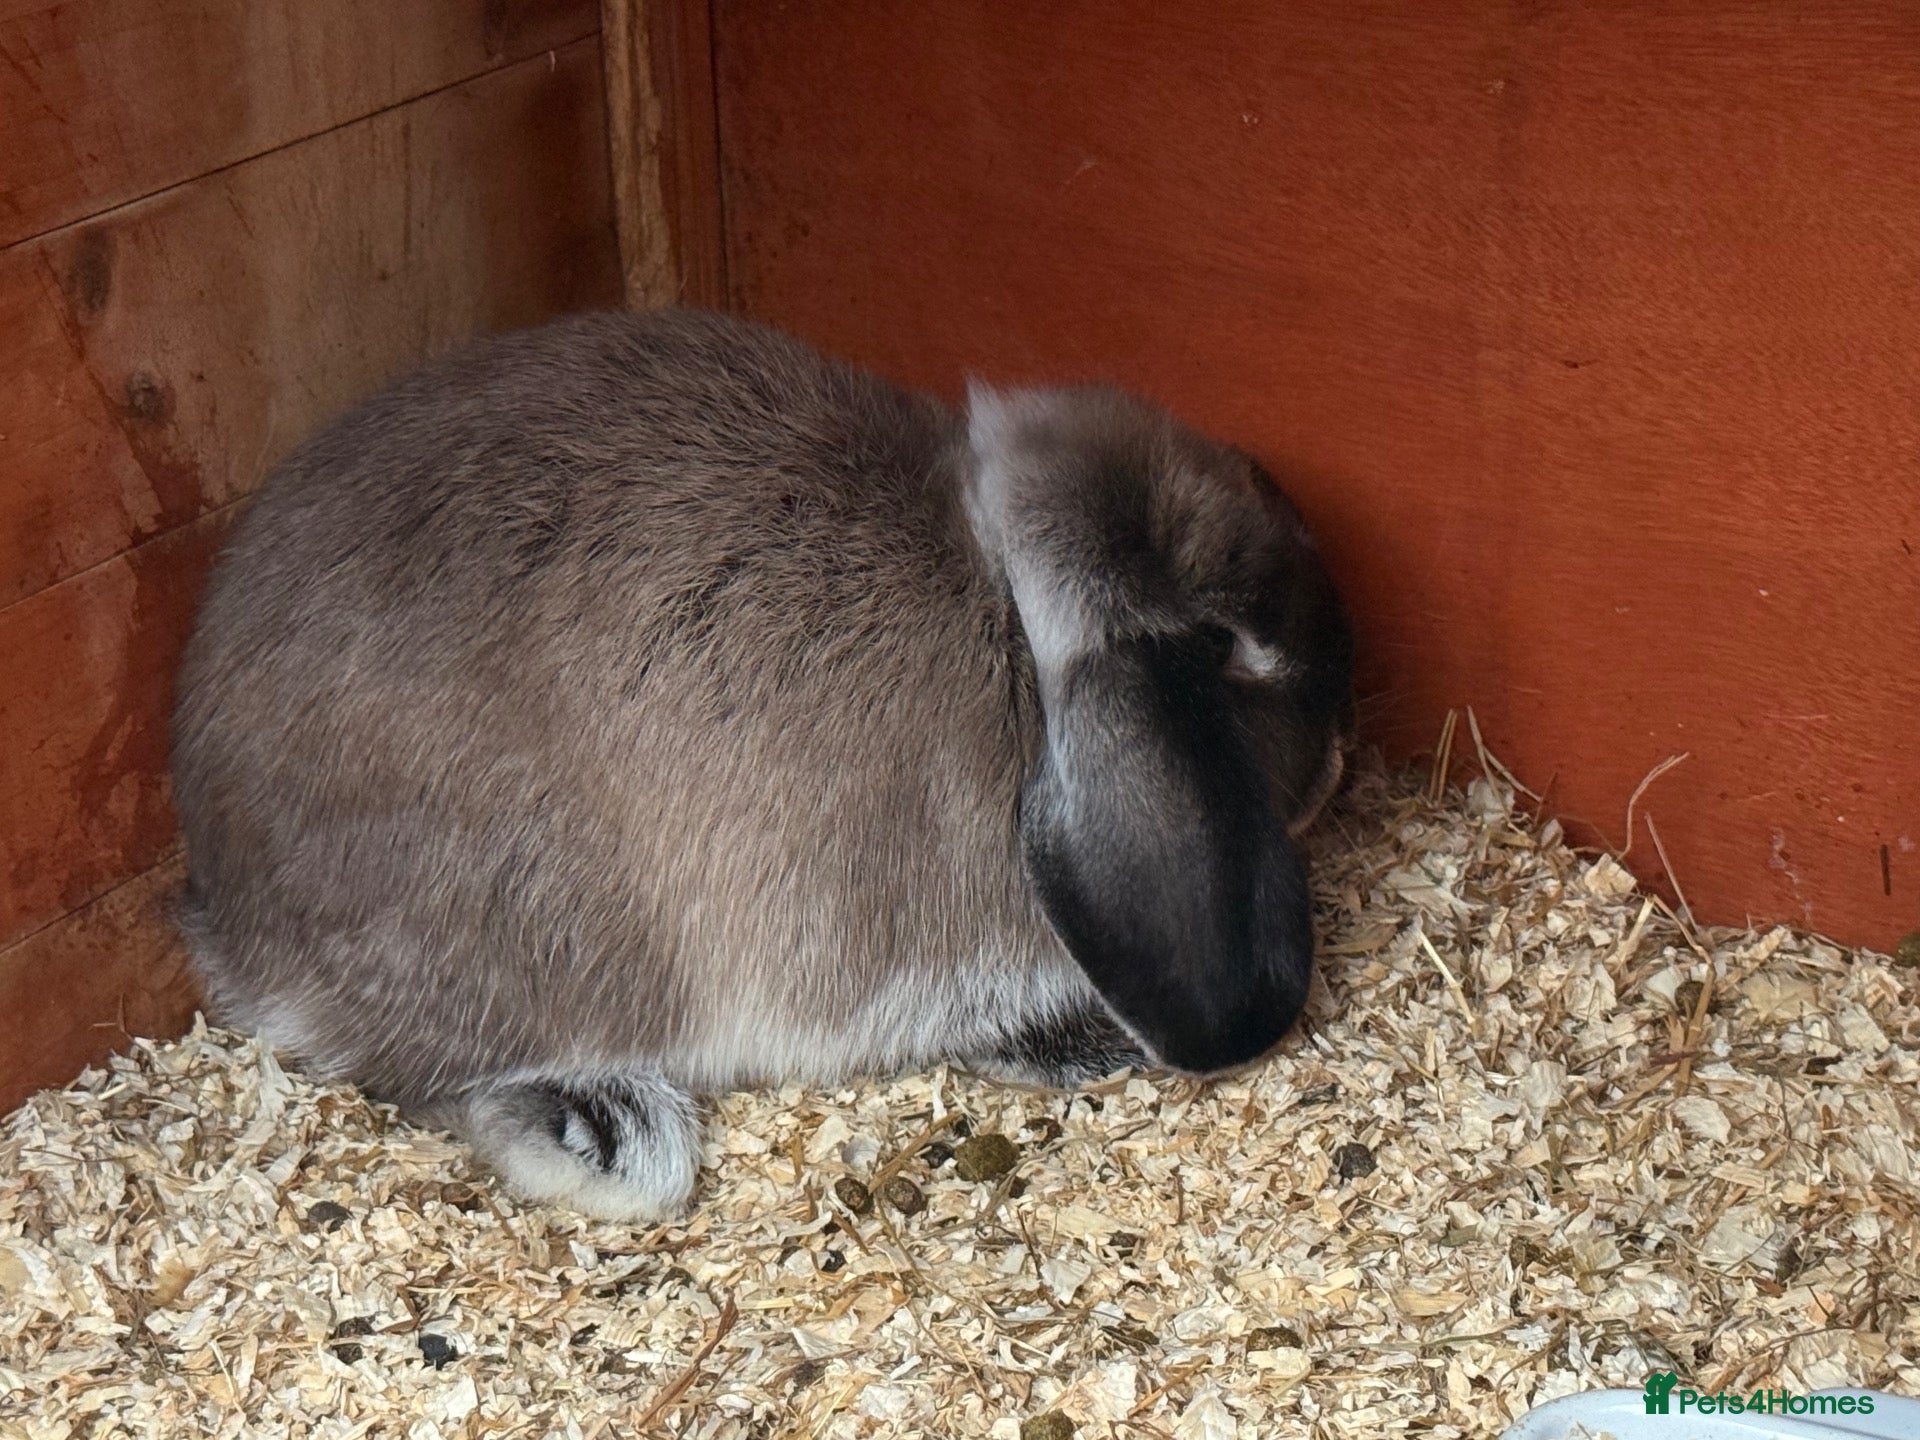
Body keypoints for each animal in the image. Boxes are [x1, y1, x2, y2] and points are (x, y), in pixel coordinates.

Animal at [170, 308, 1355, 1220]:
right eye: (1227, 644)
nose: (1338, 765)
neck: (1009, 618)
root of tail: (227, 918)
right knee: (423, 1076)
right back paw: (600, 1131)